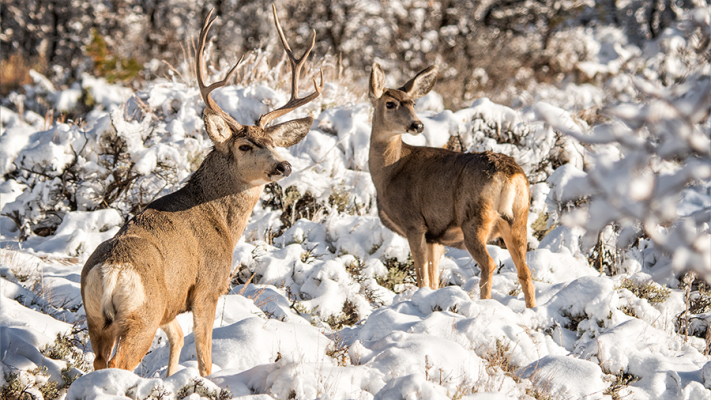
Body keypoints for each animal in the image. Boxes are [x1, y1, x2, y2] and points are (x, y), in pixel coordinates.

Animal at [80, 6, 324, 377]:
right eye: (244, 146)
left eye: (272, 143)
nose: (284, 166)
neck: (220, 220)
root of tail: (111, 272)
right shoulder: (208, 287)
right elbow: (205, 359)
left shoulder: (173, 304)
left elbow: (178, 339)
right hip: (142, 317)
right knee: (119, 364)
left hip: (98, 320)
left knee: (97, 361)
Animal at [367, 63, 536, 308]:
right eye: (390, 103)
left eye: (412, 103)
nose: (417, 125)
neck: (389, 172)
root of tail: (509, 175)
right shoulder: (434, 237)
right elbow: (433, 277)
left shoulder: (414, 223)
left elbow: (422, 276)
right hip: (518, 219)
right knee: (525, 271)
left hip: (475, 220)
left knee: (489, 264)